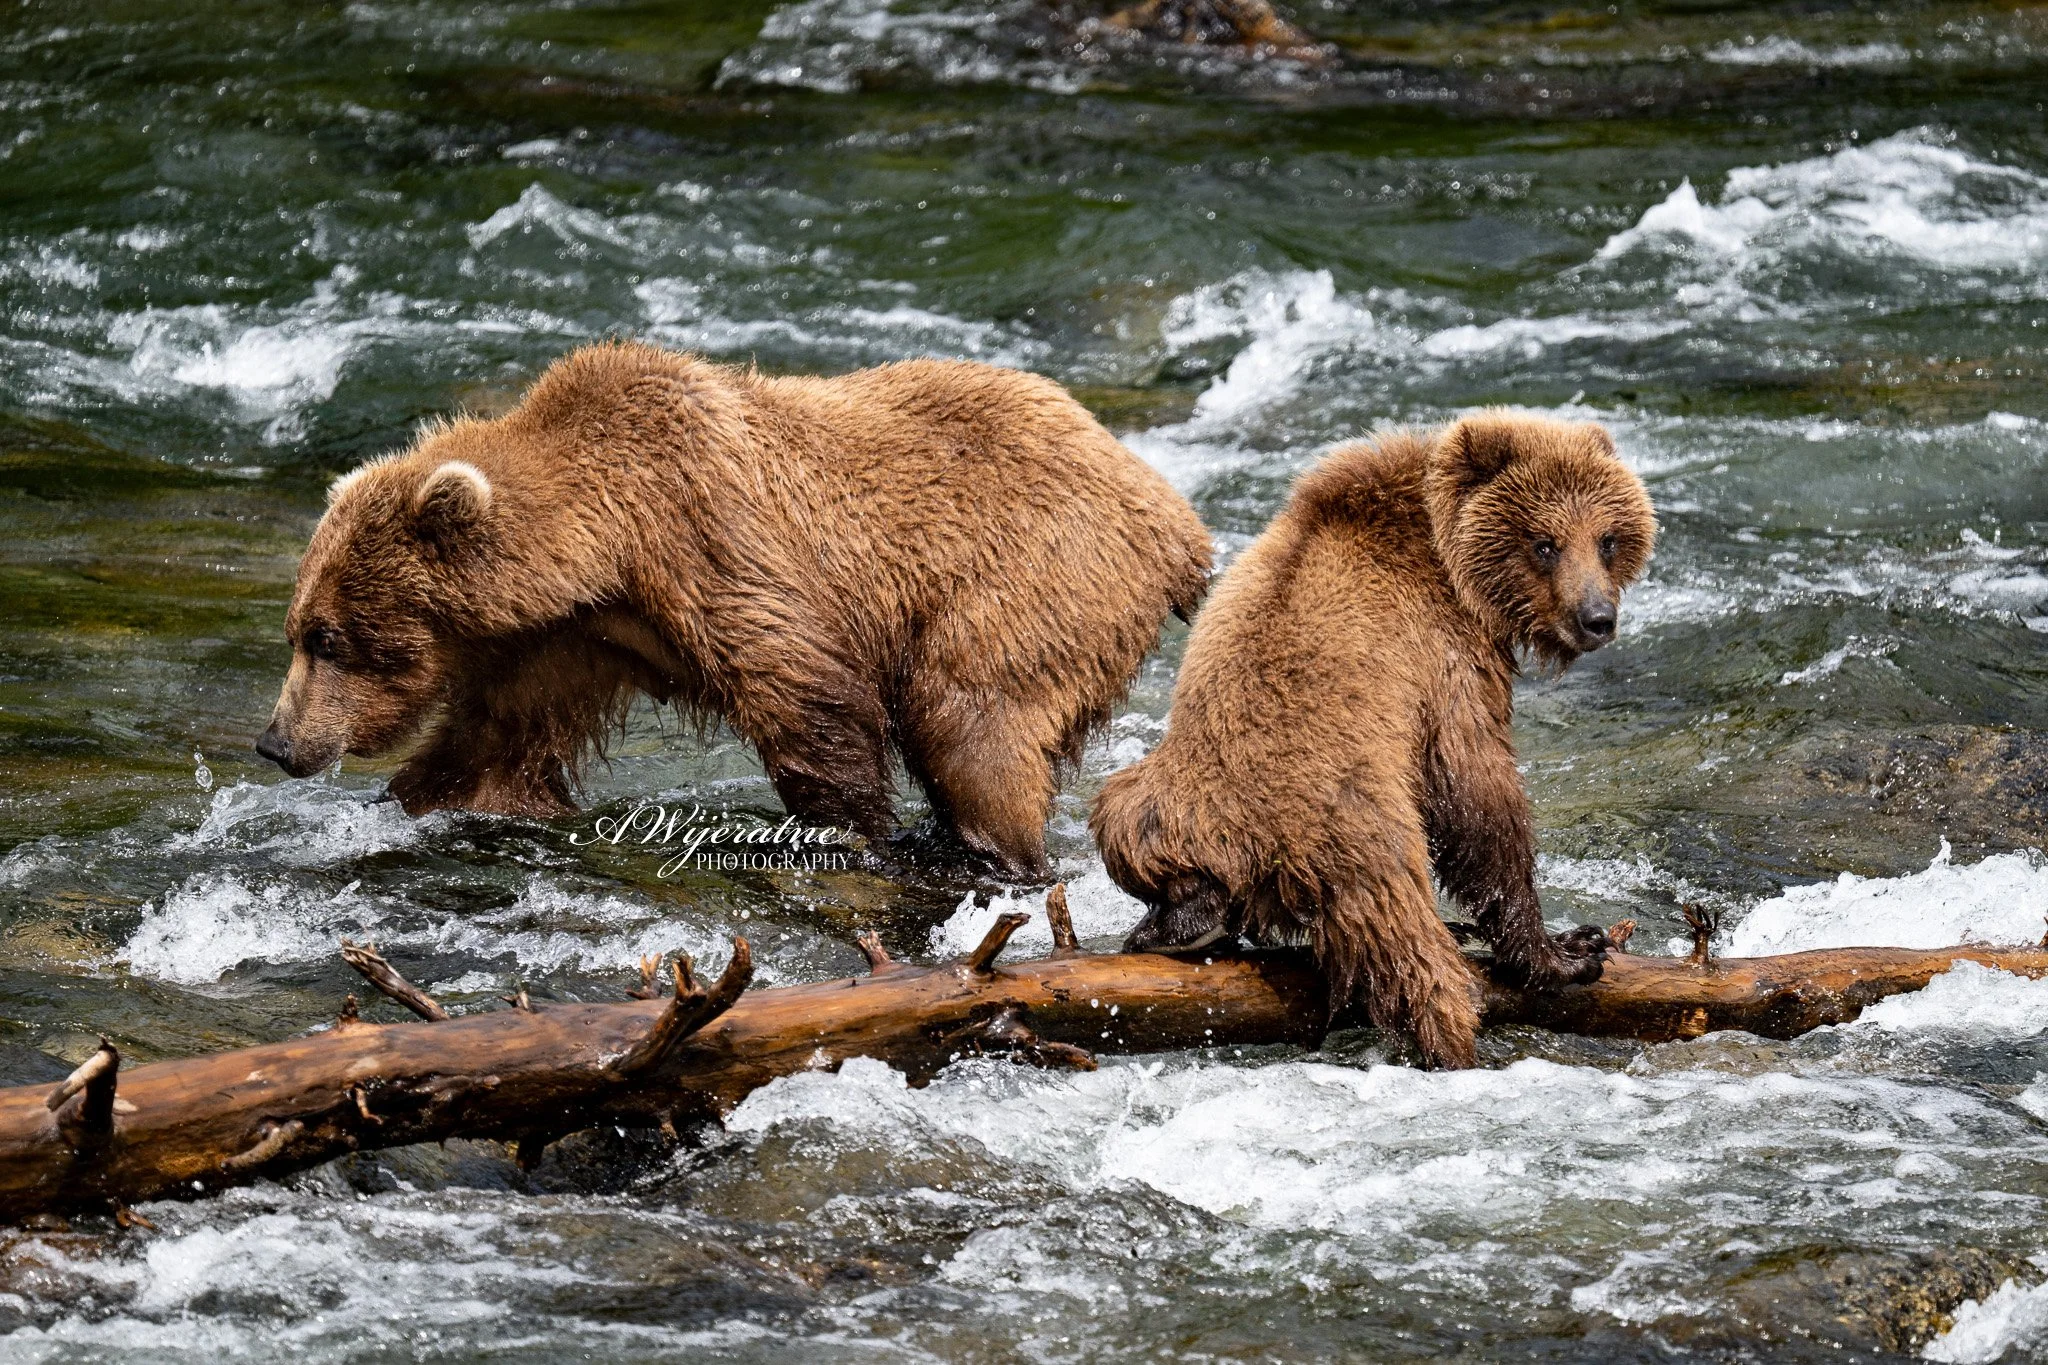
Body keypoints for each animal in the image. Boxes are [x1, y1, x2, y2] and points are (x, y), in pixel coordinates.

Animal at [256, 341, 1212, 879]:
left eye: (329, 637)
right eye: (298, 629)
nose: (276, 742)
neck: (606, 547)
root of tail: (1179, 520)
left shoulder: (711, 538)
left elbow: (810, 696)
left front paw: (852, 833)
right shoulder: (569, 640)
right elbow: (490, 750)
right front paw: (409, 805)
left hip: (1035, 576)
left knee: (972, 719)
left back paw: (989, 852)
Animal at [1088, 412, 1656, 1068]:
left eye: (1608, 538)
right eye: (1545, 543)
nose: (1596, 618)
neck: (1447, 558)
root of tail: (1241, 845)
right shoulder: (1443, 656)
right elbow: (1477, 793)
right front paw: (1568, 948)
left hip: (1152, 799)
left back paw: (1175, 926)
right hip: (1354, 832)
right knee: (1413, 958)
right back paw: (1456, 1027)